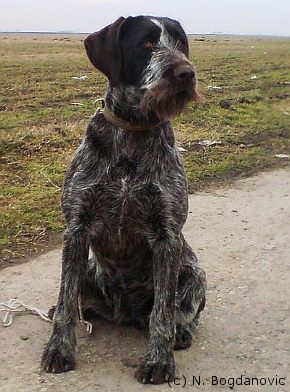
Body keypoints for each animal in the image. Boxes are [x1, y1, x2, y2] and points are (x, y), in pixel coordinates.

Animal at [42, 16, 207, 386]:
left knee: (180, 312)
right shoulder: (76, 230)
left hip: (194, 273)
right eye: (146, 43)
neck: (133, 132)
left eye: (180, 43)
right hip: (89, 270)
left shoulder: (167, 236)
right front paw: (59, 349)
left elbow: (163, 312)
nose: (186, 73)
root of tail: (123, 312)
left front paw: (159, 360)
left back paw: (181, 333)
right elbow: (66, 302)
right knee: (77, 303)